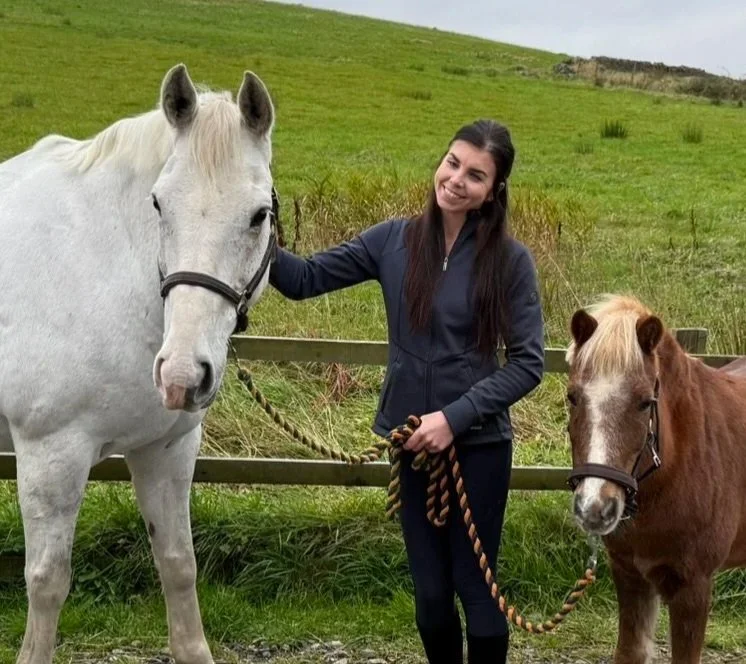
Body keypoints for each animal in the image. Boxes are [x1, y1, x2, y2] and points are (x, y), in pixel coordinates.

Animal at [0, 64, 276, 664]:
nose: (181, 375)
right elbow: (47, 583)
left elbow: (178, 567)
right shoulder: (49, 456)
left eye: (258, 215)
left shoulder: (165, 451)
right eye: (158, 205)